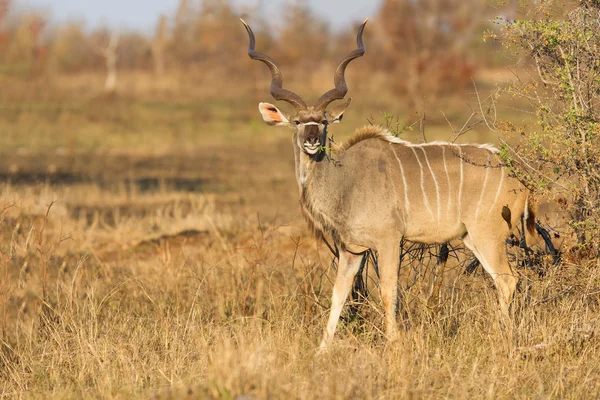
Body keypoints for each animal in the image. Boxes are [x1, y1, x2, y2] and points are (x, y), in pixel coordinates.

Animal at [241, 19, 536, 350]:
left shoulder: (389, 240)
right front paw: (321, 351)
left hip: (488, 235)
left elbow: (387, 291)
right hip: (472, 238)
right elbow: (338, 295)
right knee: (502, 279)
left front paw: (392, 343)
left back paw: (504, 339)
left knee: (508, 279)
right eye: (297, 122)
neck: (346, 180)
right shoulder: (352, 250)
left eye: (324, 121)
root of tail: (521, 177)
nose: (312, 140)